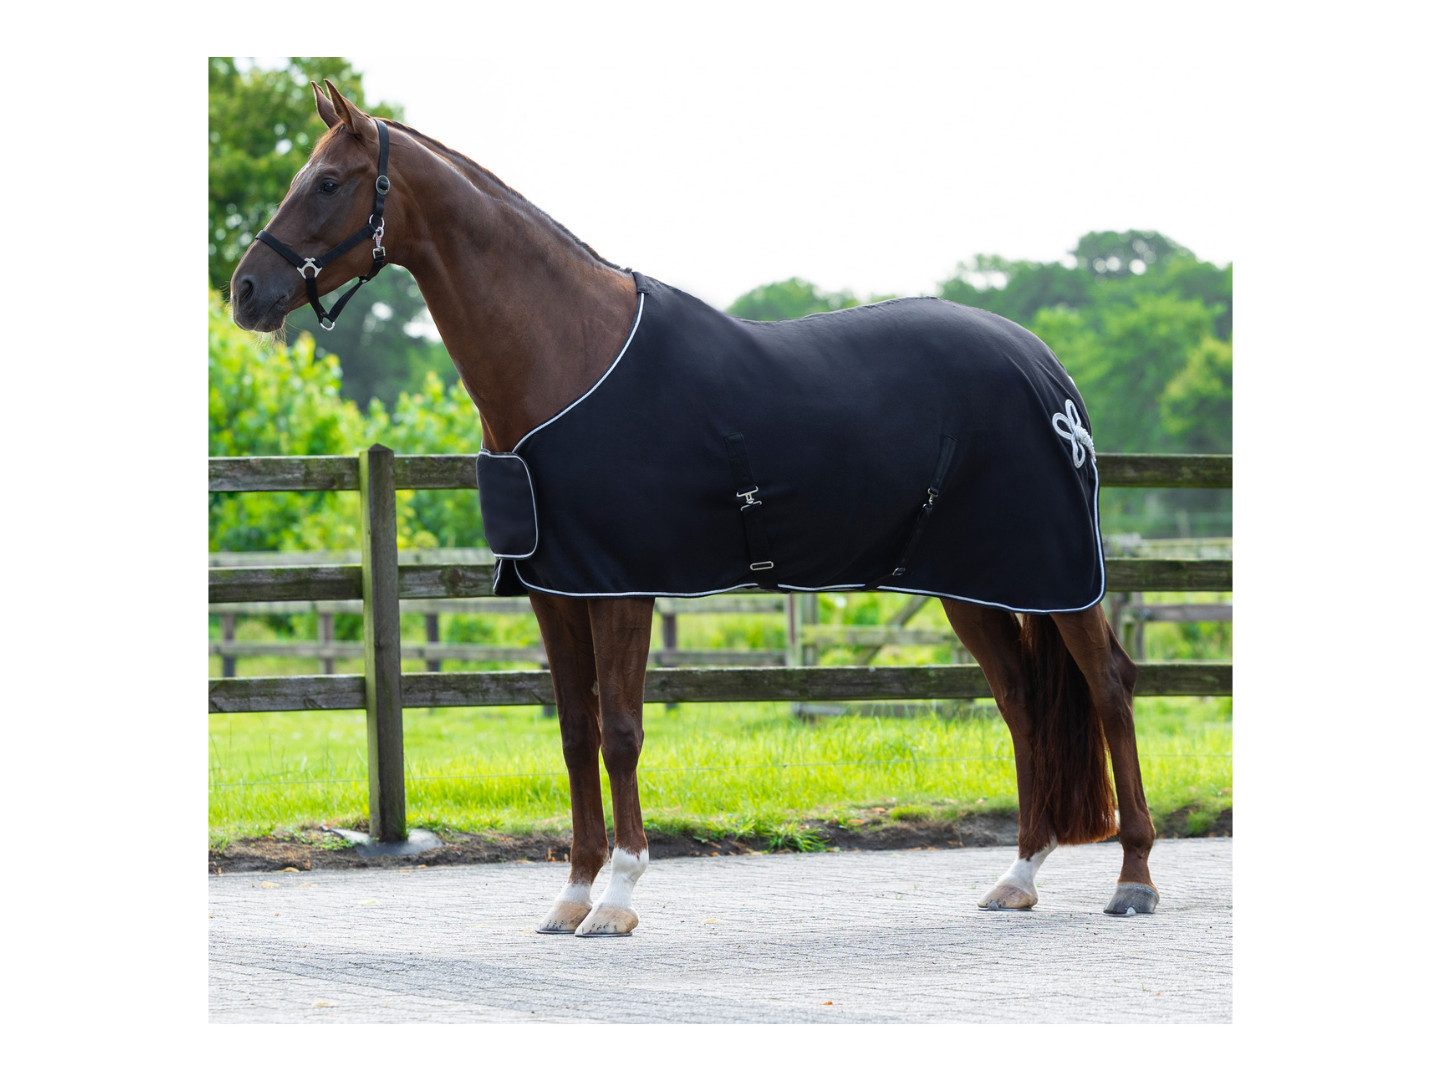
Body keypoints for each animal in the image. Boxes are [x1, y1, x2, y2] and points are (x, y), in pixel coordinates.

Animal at [230, 81, 1158, 936]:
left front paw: (618, 898)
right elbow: (575, 736)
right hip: (975, 584)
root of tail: (1045, 365)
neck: (567, 355)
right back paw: (1019, 877)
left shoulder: (622, 585)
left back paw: (1134, 880)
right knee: (1025, 704)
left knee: (1109, 686)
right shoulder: (555, 589)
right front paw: (571, 896)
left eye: (329, 182)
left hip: (1057, 570)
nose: (244, 291)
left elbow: (621, 733)